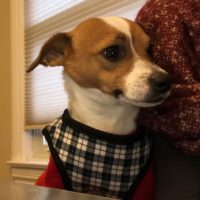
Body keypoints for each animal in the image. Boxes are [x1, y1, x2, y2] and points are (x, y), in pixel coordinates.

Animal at [27, 17, 172, 200]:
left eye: (150, 49)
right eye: (112, 52)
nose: (166, 81)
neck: (107, 118)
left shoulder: (143, 187)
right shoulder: (54, 179)